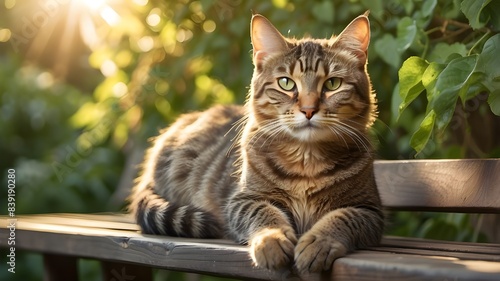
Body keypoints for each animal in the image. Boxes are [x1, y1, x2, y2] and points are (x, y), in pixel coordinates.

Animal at [129, 12, 382, 272]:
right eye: (286, 83)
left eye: (332, 84)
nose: (309, 110)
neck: (306, 159)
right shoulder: (243, 200)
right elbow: (265, 214)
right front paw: (272, 240)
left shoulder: (368, 210)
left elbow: (340, 219)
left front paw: (318, 242)